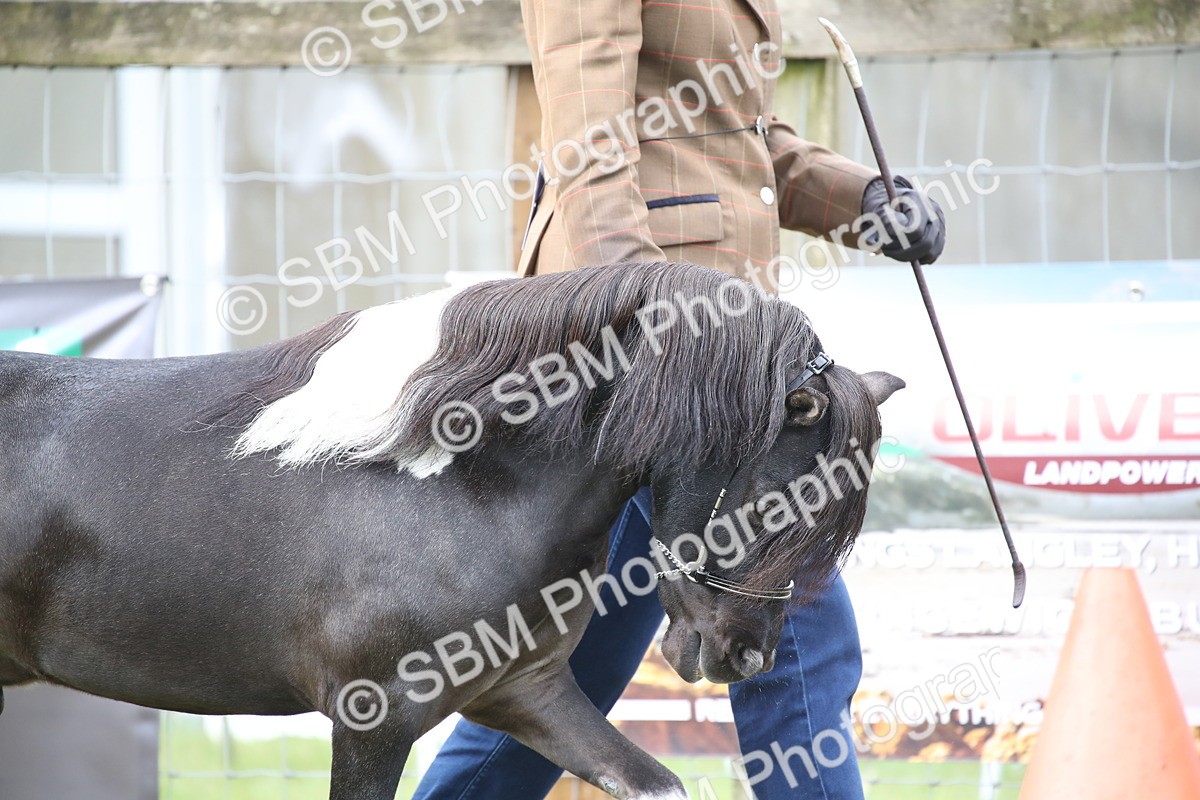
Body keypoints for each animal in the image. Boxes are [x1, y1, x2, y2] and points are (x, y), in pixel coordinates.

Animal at [0, 261, 903, 799]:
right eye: (779, 500)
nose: (745, 655)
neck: (452, 479)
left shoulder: (526, 692)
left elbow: (657, 783)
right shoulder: (373, 715)